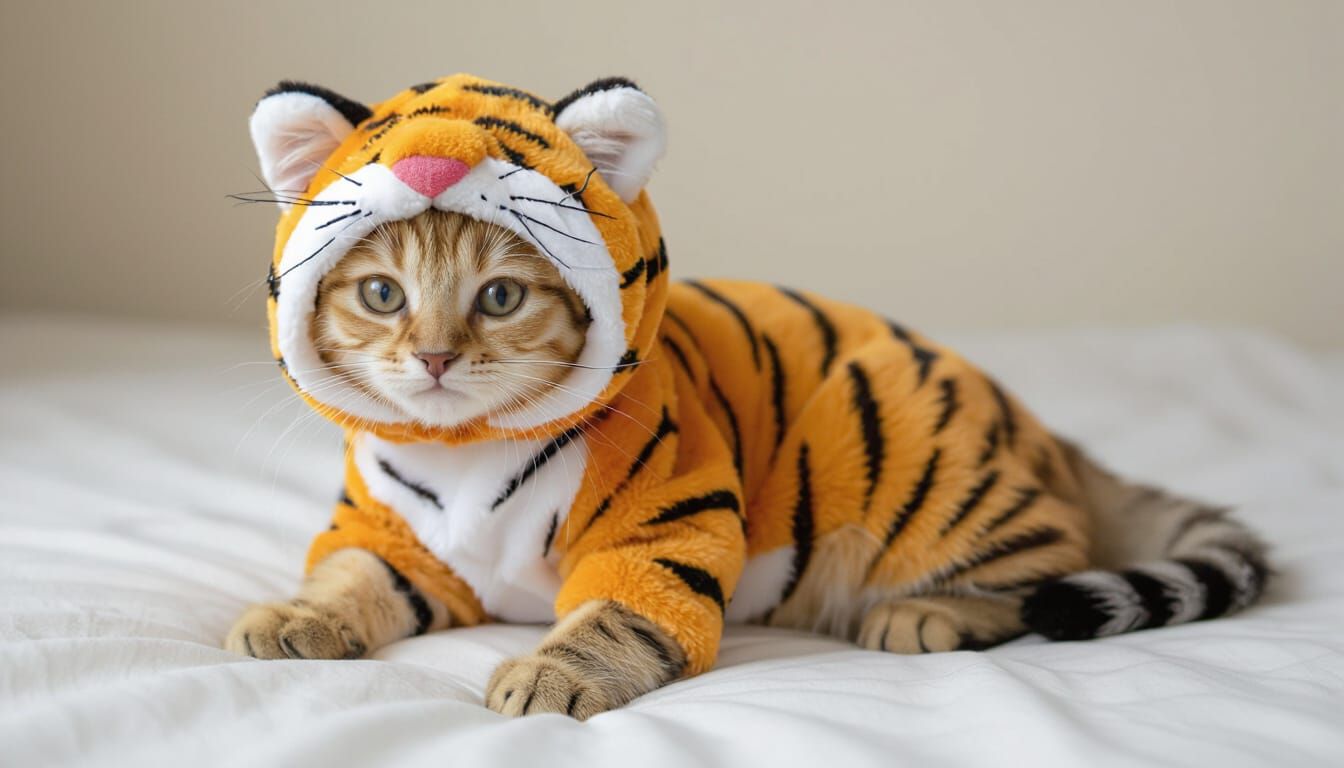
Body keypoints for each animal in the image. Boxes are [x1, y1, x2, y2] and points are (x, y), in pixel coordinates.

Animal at [226, 73, 1269, 719]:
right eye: (382, 295)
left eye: (500, 298)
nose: (437, 358)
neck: (466, 451)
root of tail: (1035, 424)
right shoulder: (397, 538)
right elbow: (351, 578)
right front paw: (291, 617)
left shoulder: (666, 528)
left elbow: (611, 620)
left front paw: (552, 675)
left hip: (926, 473)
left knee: (1045, 561)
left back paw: (928, 612)